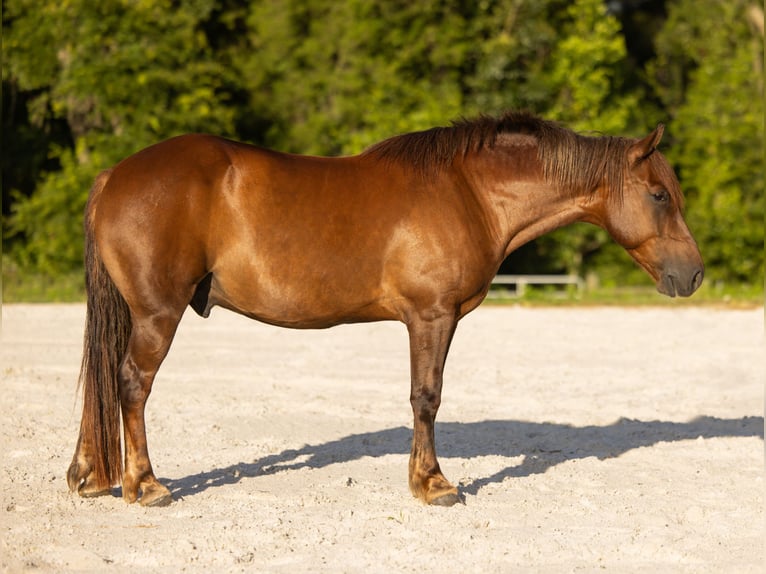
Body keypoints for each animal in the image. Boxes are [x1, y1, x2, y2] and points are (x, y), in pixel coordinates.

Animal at [67, 111, 703, 507]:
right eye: (658, 195)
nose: (693, 274)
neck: (469, 192)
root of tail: (114, 175)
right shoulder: (432, 316)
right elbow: (427, 398)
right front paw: (433, 484)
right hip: (157, 314)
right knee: (131, 384)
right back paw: (145, 485)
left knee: (105, 380)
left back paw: (89, 476)